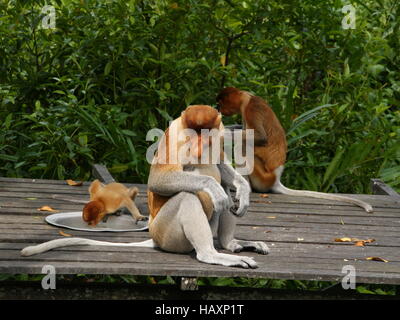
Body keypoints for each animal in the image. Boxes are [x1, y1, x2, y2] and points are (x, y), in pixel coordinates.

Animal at [20, 104, 268, 268]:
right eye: (192, 135)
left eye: (205, 135)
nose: (198, 147)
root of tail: (154, 237)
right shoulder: (174, 137)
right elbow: (159, 180)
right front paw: (213, 188)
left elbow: (221, 166)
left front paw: (243, 189)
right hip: (166, 232)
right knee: (188, 196)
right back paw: (212, 253)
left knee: (225, 188)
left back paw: (231, 243)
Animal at [217, 86, 374, 214]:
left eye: (220, 103)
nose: (218, 108)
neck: (246, 98)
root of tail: (276, 179)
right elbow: (241, 129)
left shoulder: (252, 108)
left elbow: (260, 137)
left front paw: (220, 132)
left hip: (262, 176)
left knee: (242, 146)